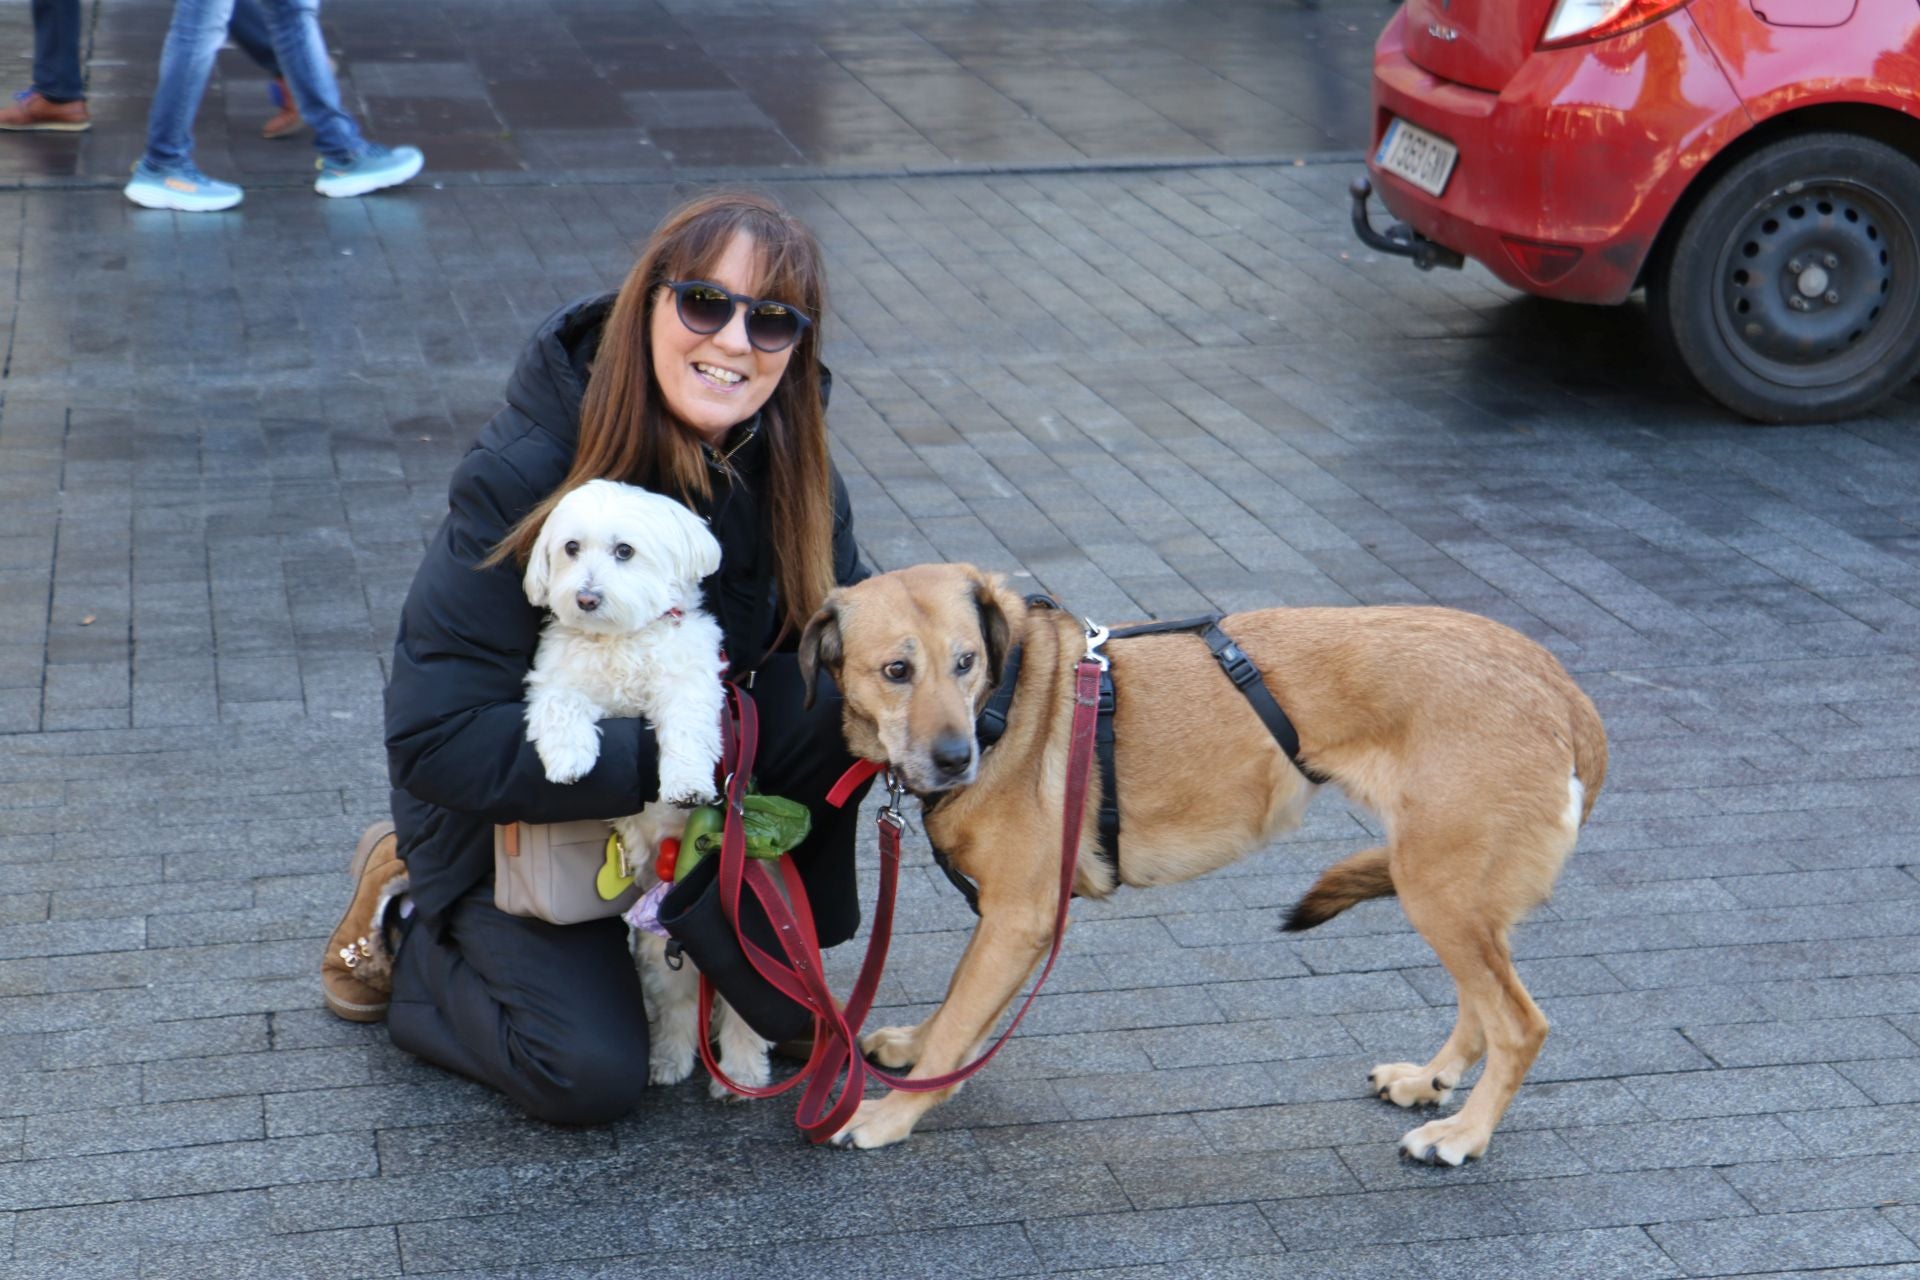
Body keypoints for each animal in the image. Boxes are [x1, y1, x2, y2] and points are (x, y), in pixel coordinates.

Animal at [526, 475, 771, 1097]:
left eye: (624, 551)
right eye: (570, 549)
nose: (586, 598)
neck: (621, 639)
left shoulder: (692, 683)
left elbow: (686, 728)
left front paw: (684, 784)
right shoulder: (555, 678)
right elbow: (560, 707)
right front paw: (570, 761)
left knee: (744, 1013)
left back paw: (739, 1072)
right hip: (663, 955)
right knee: (681, 1008)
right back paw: (669, 1060)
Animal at [794, 560, 1605, 1159]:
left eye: (965, 662)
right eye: (896, 671)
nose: (955, 759)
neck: (1008, 696)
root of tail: (1559, 688)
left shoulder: (1020, 919)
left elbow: (961, 1025)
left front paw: (892, 1114)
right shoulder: (1003, 922)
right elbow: (956, 1011)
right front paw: (916, 1048)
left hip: (1439, 891)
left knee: (1520, 1025)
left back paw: (1463, 1134)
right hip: (1452, 894)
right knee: (1481, 1006)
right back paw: (1430, 1081)